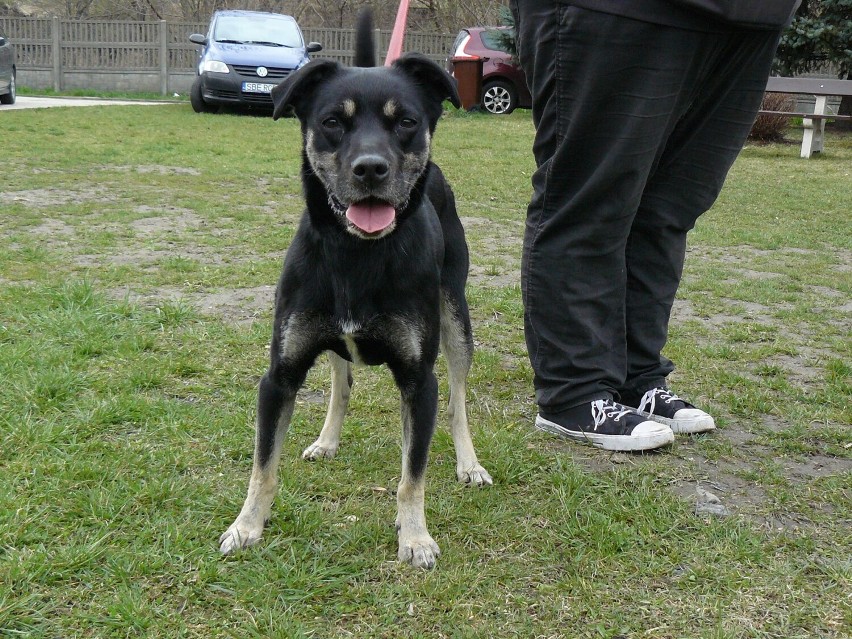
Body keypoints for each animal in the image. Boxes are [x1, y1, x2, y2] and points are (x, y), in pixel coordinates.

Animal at [216, 10, 490, 568]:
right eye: (331, 122)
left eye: (406, 122)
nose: (370, 168)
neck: (356, 253)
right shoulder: (279, 375)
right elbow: (263, 465)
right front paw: (247, 525)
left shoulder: (419, 381)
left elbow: (412, 475)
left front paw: (415, 537)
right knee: (341, 381)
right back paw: (327, 439)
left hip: (455, 314)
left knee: (458, 396)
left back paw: (468, 462)